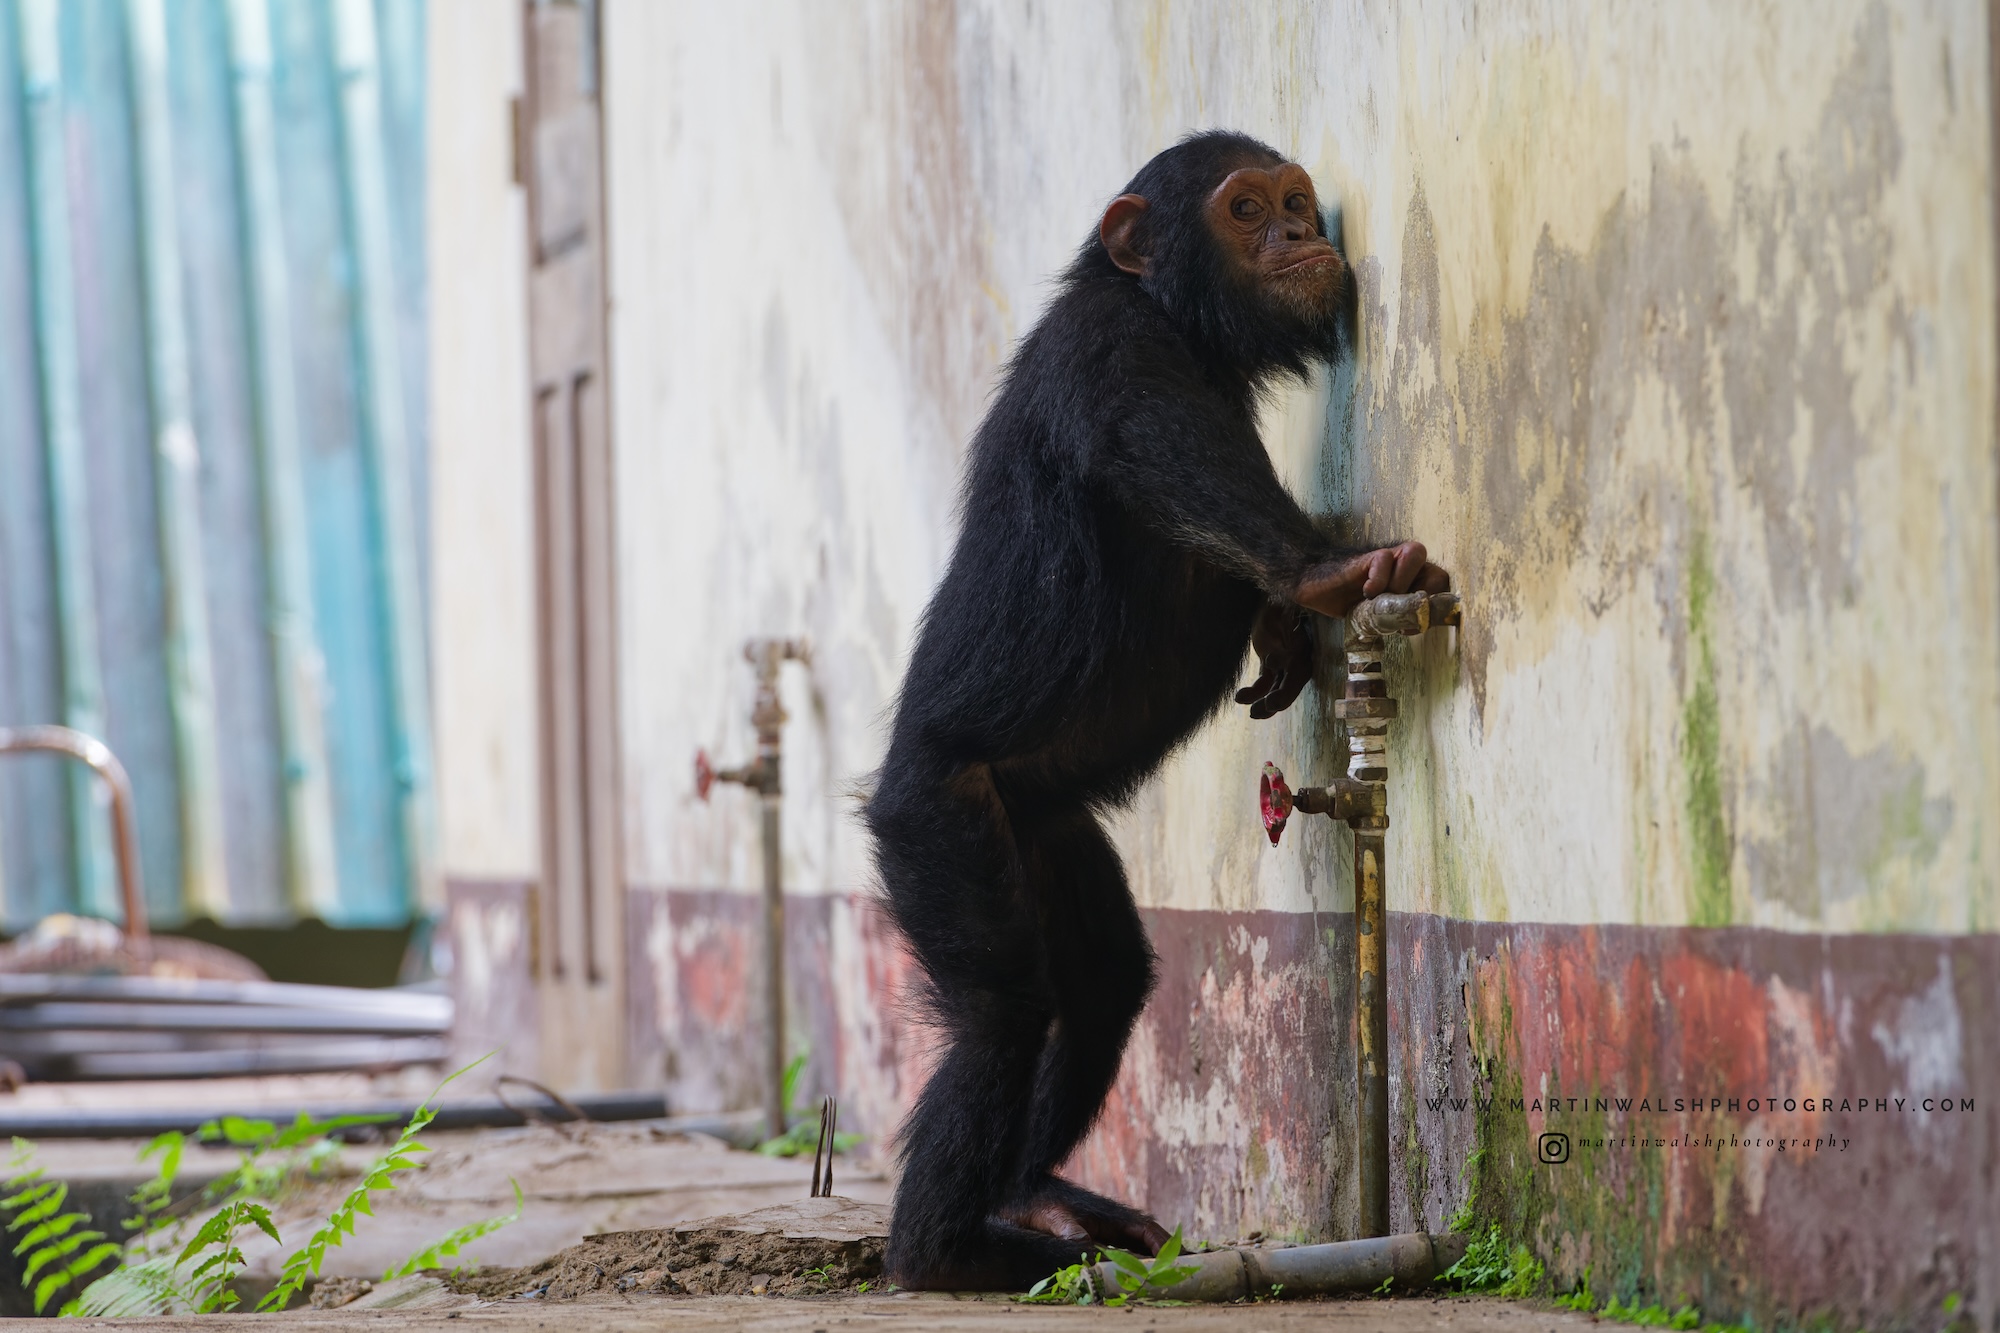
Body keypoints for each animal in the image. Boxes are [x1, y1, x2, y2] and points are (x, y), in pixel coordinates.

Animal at [864, 131, 1450, 1291]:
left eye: (1293, 198)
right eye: (1244, 208)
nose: (1299, 228)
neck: (1179, 319)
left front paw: (1283, 620)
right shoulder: (1111, 354)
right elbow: (1163, 447)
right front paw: (1323, 574)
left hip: (1042, 829)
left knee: (1100, 990)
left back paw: (1039, 1195)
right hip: (934, 820)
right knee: (1002, 1018)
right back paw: (949, 1249)